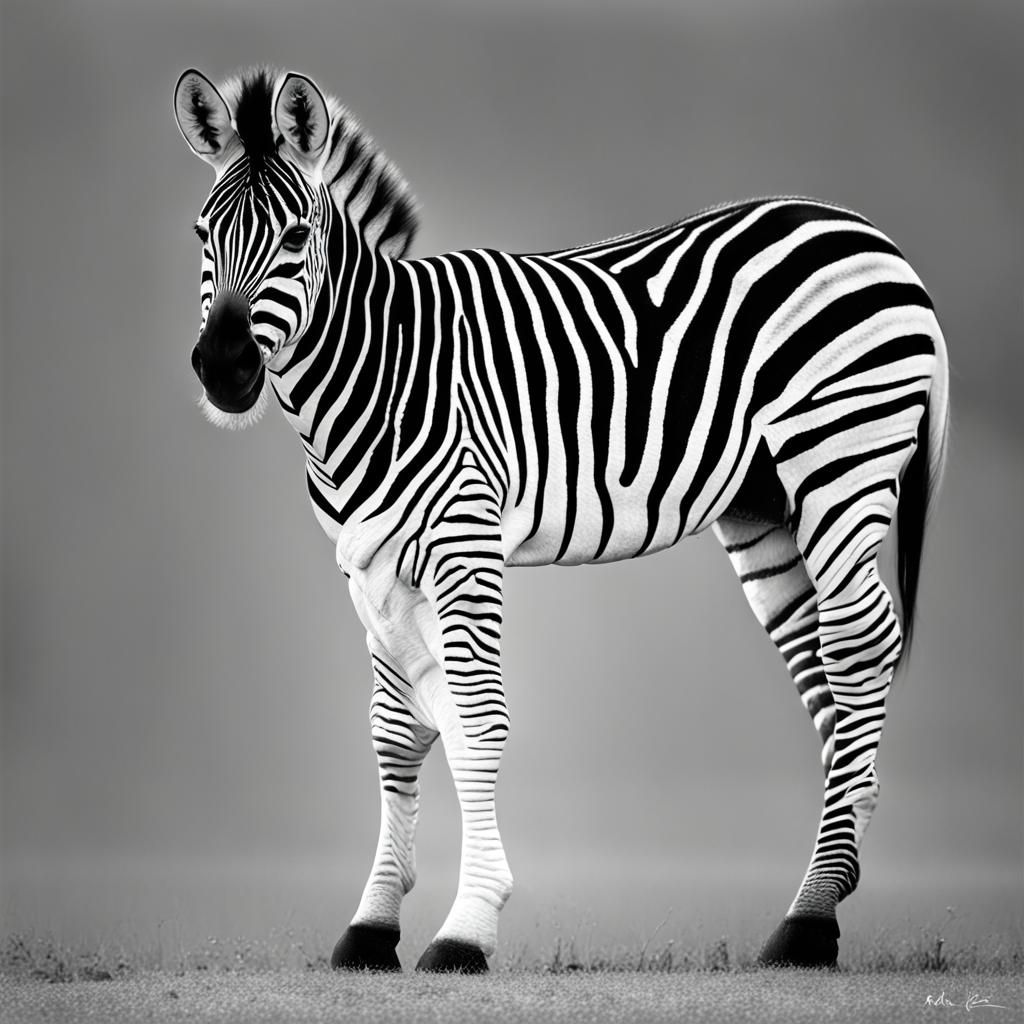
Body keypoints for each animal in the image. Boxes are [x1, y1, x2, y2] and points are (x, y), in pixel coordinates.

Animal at [174, 66, 949, 973]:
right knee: (827, 668)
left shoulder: (463, 537)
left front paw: (467, 927)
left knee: (861, 646)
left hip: (839, 458)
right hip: (766, 505)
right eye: (202, 233)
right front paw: (372, 926)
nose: (223, 368)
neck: (379, 366)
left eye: (297, 236)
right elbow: (395, 734)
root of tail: (868, 233)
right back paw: (829, 885)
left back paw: (811, 920)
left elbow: (477, 722)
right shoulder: (368, 564)